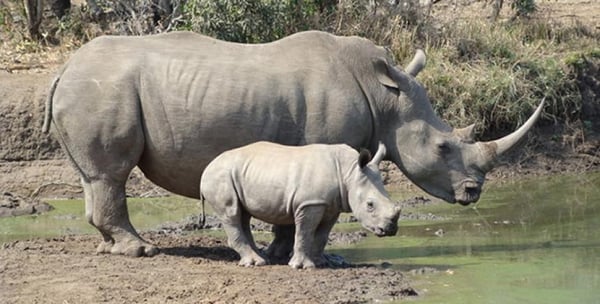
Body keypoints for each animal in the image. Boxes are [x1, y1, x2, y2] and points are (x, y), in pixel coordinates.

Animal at [199, 141, 400, 268]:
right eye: (370, 205)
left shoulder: (330, 205)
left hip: (238, 175)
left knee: (243, 215)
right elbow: (304, 232)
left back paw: (261, 258)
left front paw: (320, 263)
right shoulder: (309, 203)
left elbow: (322, 234)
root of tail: (207, 166)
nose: (391, 229)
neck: (349, 172)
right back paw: (256, 263)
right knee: (231, 212)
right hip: (220, 176)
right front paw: (302, 266)